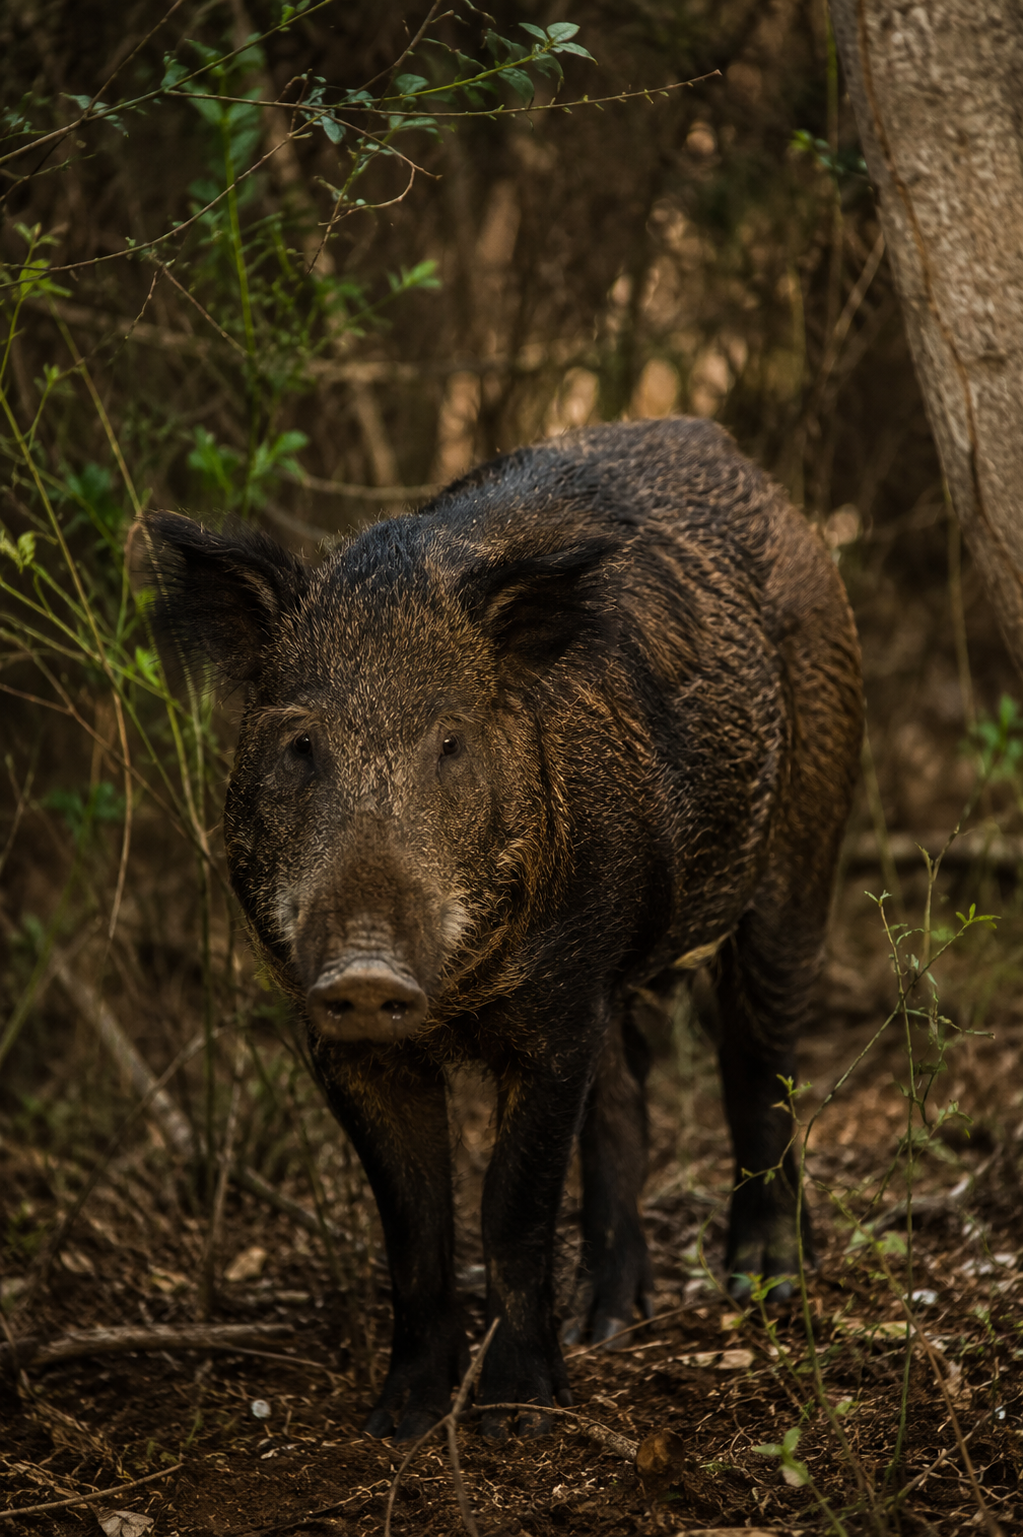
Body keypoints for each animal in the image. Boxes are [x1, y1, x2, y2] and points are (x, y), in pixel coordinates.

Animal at [140, 416, 863, 1443]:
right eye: (300, 744)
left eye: (450, 741)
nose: (366, 969)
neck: (459, 1000)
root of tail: (739, 458)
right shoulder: (345, 1040)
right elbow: (414, 1225)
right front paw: (398, 1421)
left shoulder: (554, 1013)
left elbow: (511, 1207)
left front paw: (516, 1416)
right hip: (618, 975)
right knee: (625, 1099)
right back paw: (610, 1323)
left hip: (804, 847)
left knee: (759, 1064)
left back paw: (762, 1287)